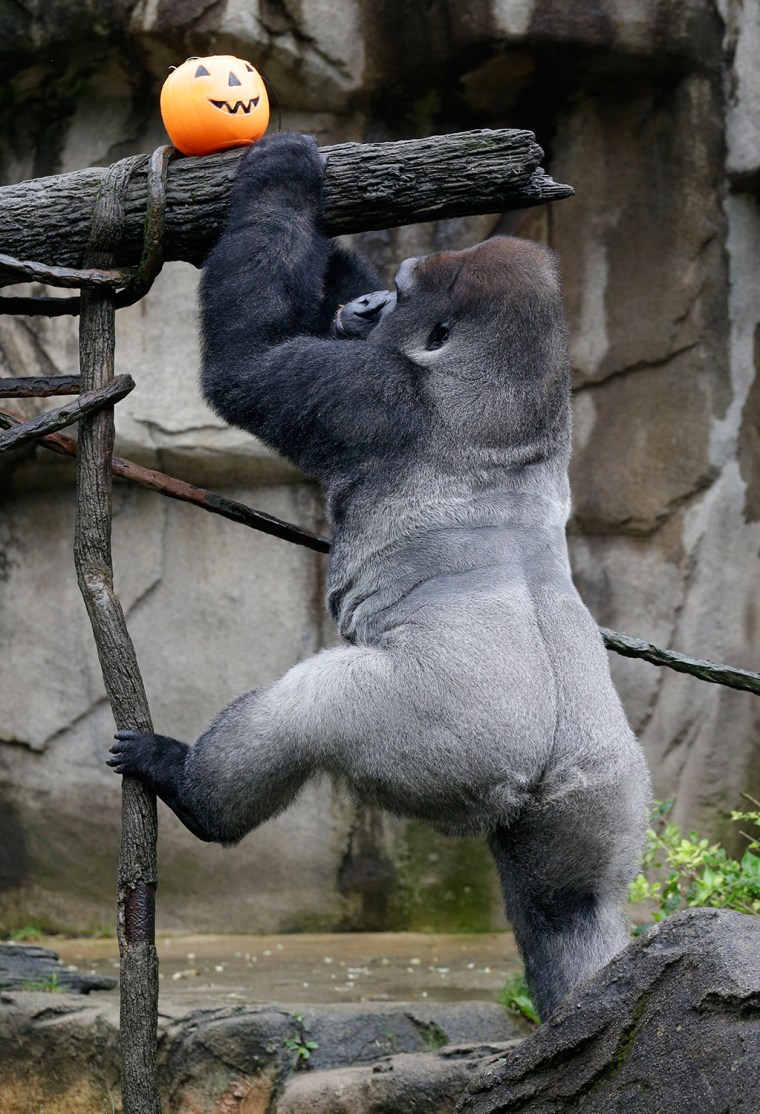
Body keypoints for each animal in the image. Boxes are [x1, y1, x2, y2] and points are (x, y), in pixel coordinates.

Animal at [109, 130, 646, 1020]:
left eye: (397, 298)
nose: (365, 309)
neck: (512, 386)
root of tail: (542, 760)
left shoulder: (369, 391)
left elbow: (243, 364)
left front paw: (280, 172)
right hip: (601, 783)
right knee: (573, 906)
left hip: (448, 735)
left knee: (304, 712)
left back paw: (191, 788)